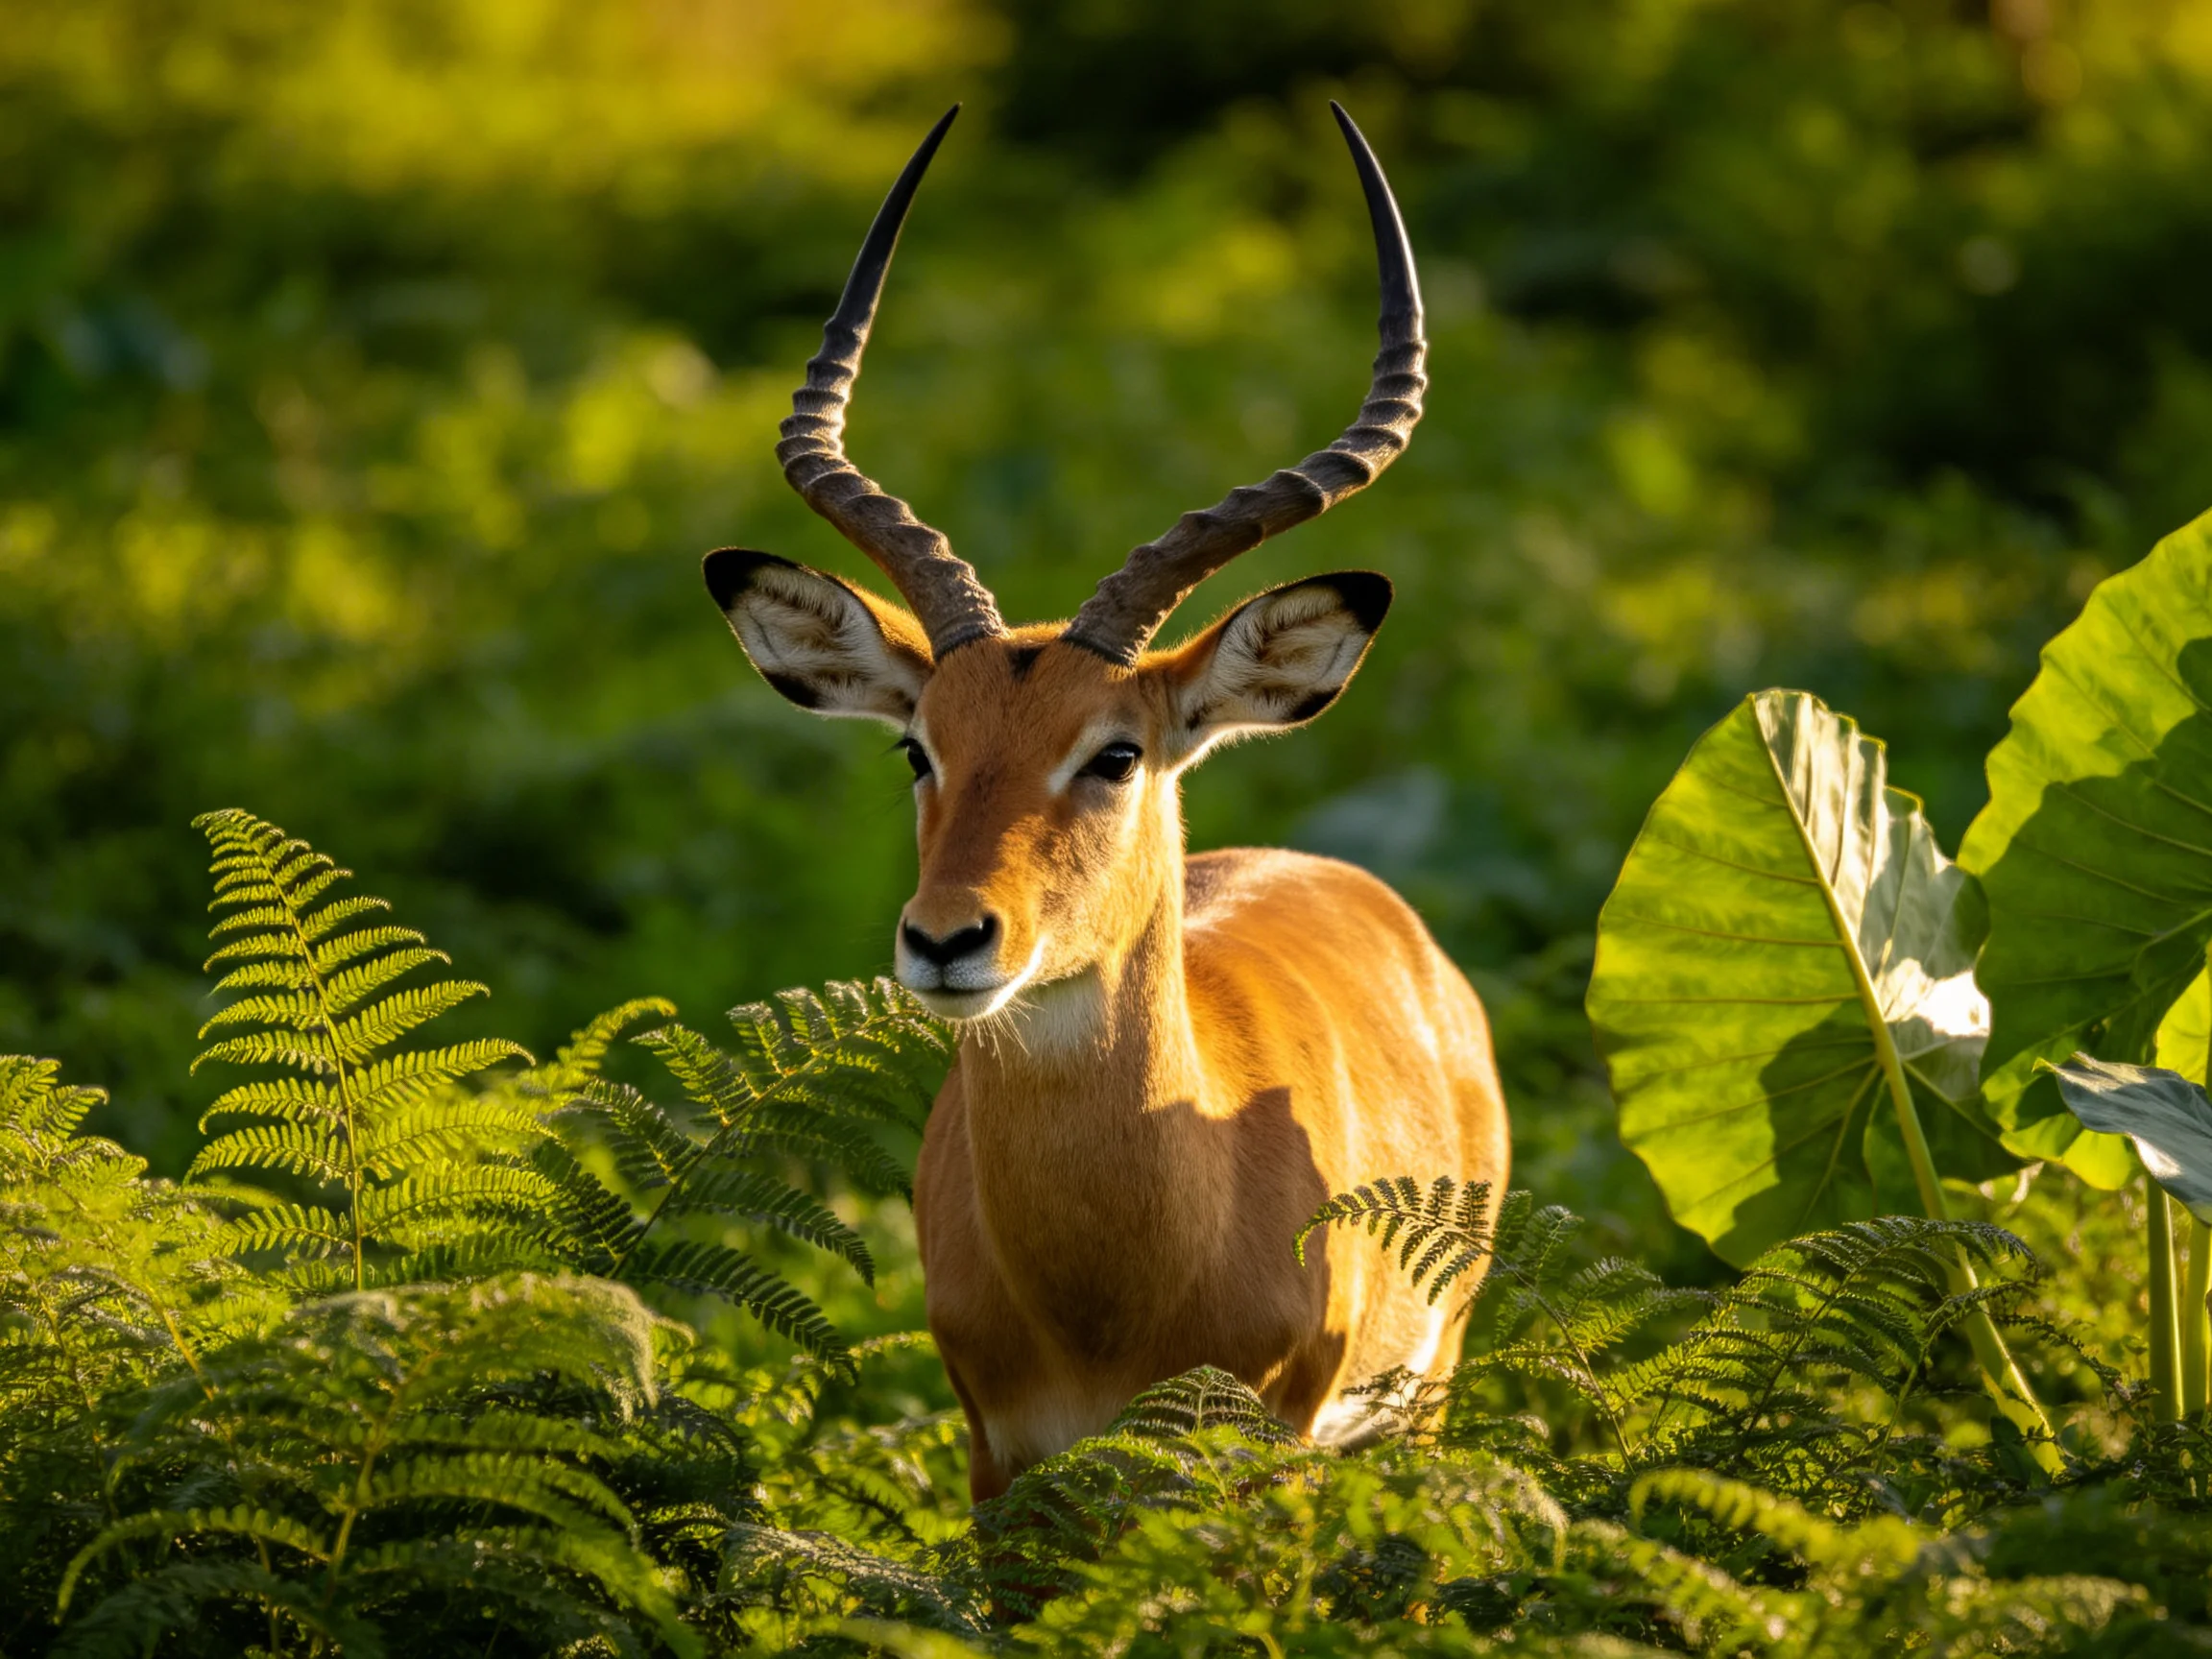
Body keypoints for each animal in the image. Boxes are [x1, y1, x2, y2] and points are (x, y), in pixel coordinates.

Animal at [705, 104, 1508, 1500]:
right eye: (917, 747)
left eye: (1116, 754)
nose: (948, 940)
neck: (1110, 1296)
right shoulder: (1002, 1465)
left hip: (1420, 1406)